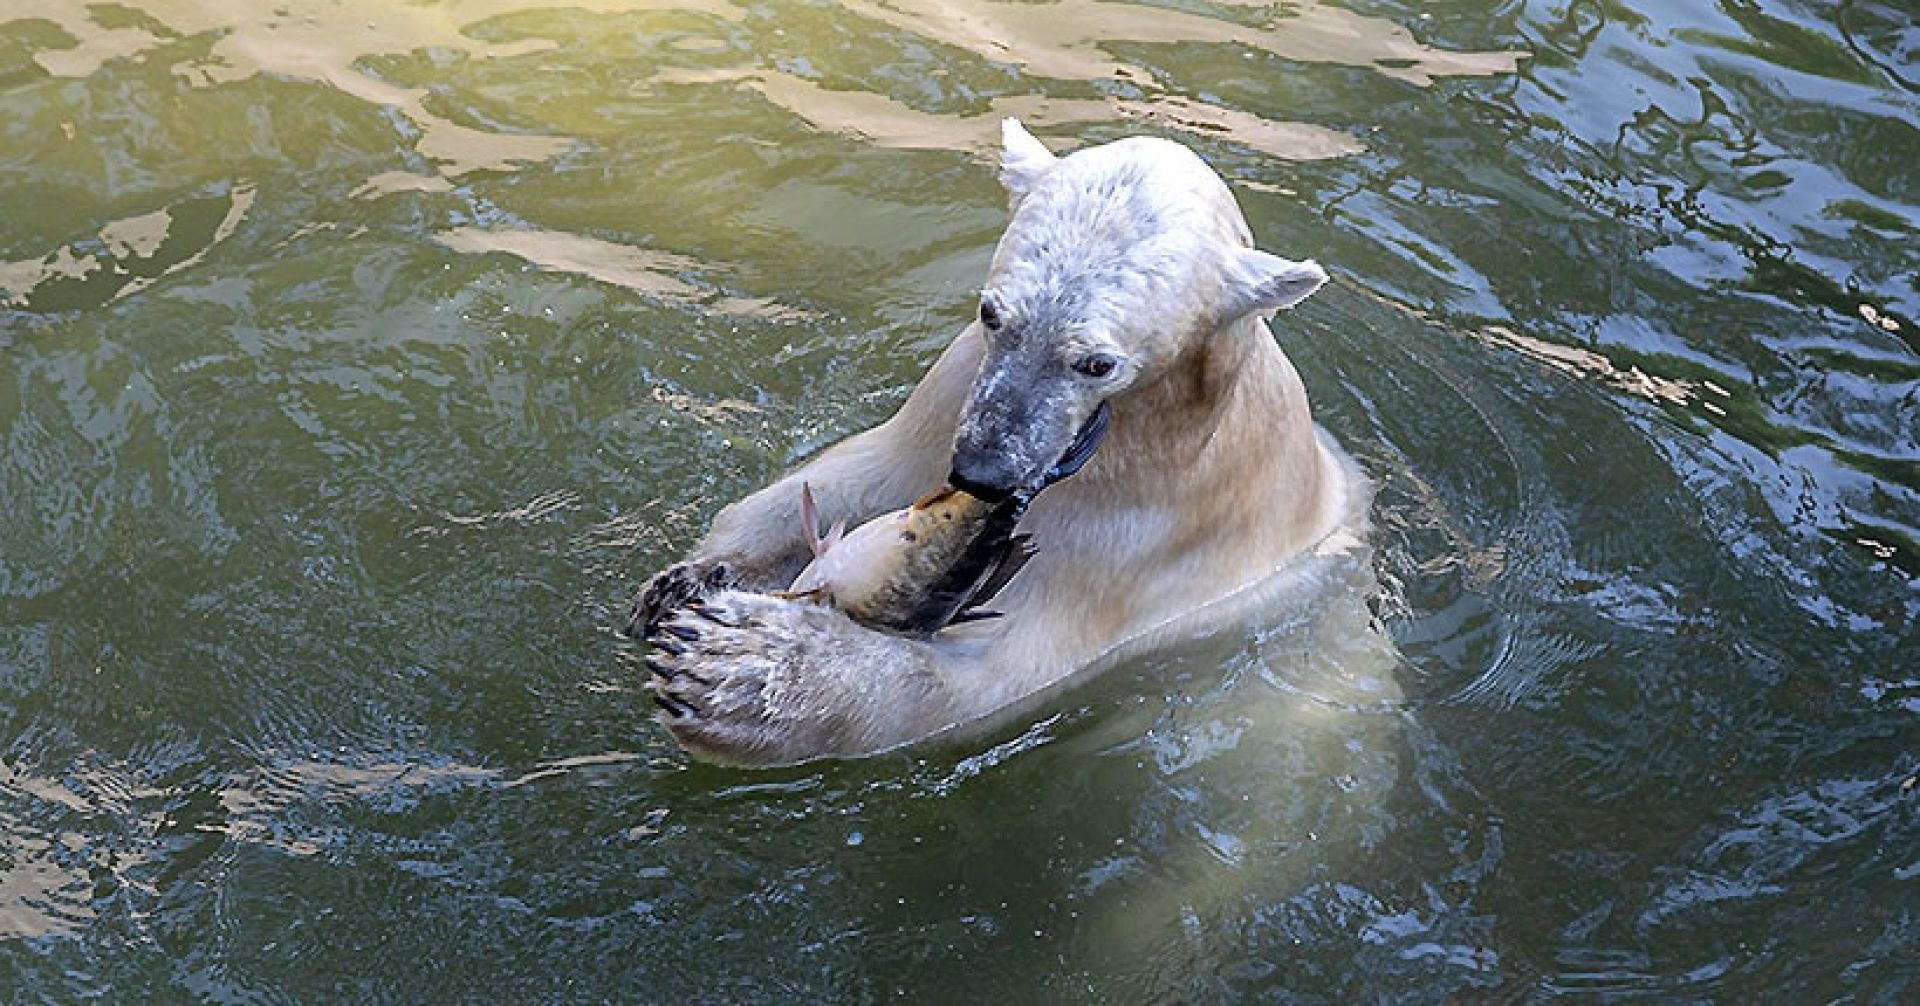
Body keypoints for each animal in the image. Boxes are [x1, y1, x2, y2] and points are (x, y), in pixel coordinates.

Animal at [632, 119, 1367, 767]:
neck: (1149, 430)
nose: (983, 469)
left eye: (1096, 363)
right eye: (993, 313)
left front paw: (735, 669)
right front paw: (687, 582)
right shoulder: (951, 399)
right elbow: (868, 472)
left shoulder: (1158, 528)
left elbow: (1011, 663)